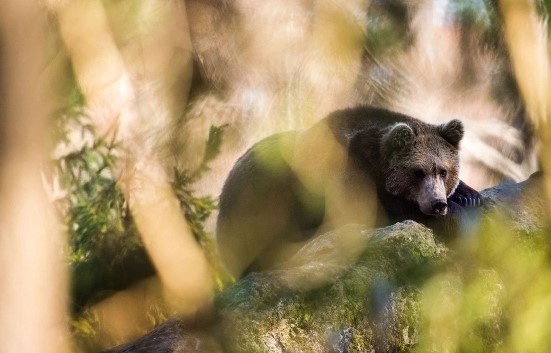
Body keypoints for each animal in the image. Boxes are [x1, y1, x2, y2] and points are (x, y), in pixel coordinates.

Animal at [216, 106, 478, 276]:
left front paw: (469, 196)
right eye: (418, 172)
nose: (438, 204)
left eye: (443, 171)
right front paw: (459, 219)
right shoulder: (346, 171)